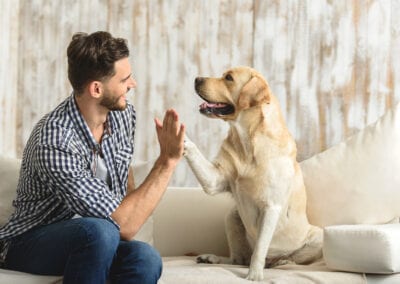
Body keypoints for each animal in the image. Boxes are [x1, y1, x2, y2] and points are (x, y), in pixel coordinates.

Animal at [184, 67, 322, 282]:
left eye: (229, 78)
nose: (197, 79)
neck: (247, 141)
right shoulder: (215, 180)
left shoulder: (271, 207)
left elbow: (259, 249)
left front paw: (254, 275)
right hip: (232, 217)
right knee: (237, 259)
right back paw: (212, 258)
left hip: (318, 237)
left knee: (289, 259)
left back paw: (281, 261)